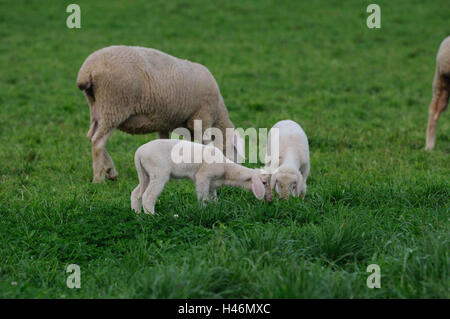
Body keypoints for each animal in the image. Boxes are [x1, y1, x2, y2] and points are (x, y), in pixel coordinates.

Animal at [78, 46, 246, 184]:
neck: (218, 117)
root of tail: (88, 70)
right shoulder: (201, 118)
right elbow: (202, 144)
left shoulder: (165, 123)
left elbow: (169, 142)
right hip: (114, 105)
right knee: (98, 142)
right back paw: (98, 179)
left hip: (97, 108)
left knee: (91, 137)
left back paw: (110, 172)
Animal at [128, 140, 272, 215]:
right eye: (264, 183)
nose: (270, 201)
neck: (227, 170)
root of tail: (139, 152)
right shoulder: (203, 176)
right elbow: (202, 196)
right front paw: (204, 209)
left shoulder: (212, 183)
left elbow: (213, 197)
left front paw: (215, 207)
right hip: (158, 172)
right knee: (148, 196)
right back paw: (152, 216)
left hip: (146, 174)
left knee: (136, 193)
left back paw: (137, 213)